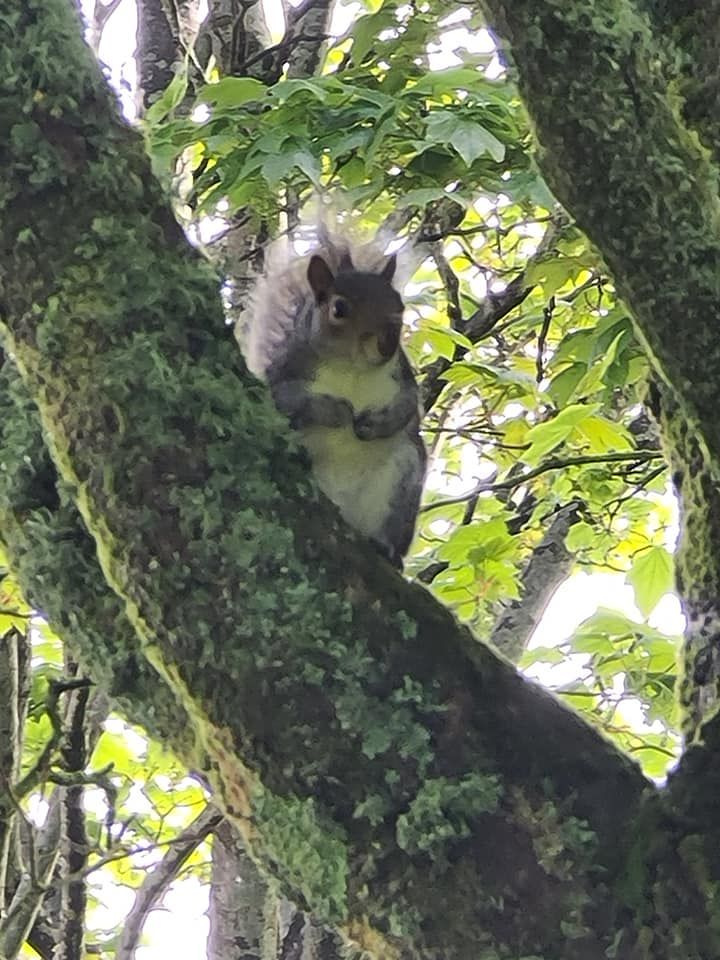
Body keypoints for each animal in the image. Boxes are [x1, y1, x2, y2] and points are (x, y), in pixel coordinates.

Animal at [242, 231, 426, 566]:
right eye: (339, 309)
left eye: (399, 305)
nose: (387, 343)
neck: (352, 368)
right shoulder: (285, 373)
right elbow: (285, 401)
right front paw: (336, 410)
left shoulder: (403, 376)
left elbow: (407, 406)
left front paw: (375, 423)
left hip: (404, 480)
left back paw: (385, 547)